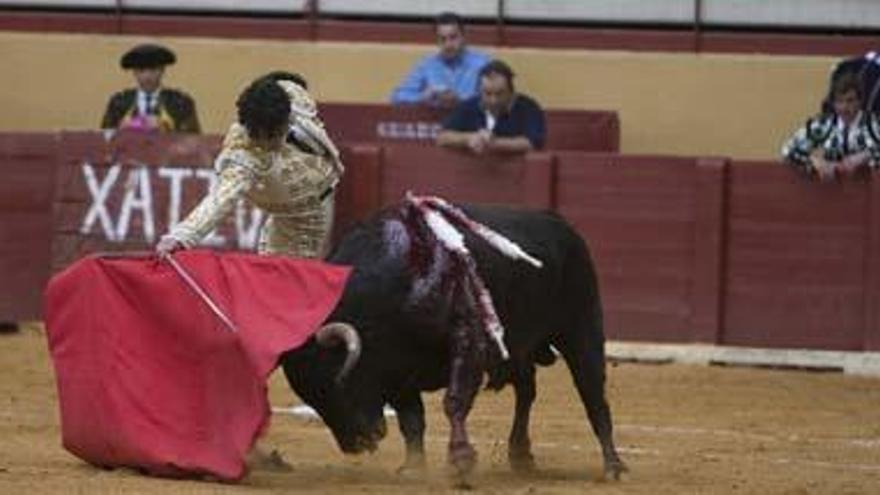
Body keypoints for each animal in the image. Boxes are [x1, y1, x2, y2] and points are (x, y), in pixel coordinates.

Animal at [280, 202, 624, 480]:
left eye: (337, 384)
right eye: (312, 396)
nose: (357, 444)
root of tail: (560, 223)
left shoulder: (466, 344)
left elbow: (454, 401)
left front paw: (460, 461)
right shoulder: (397, 369)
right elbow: (412, 419)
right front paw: (413, 468)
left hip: (581, 329)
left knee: (593, 393)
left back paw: (612, 466)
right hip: (518, 350)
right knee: (527, 391)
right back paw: (521, 455)